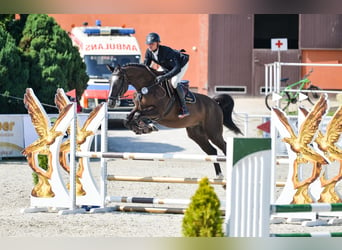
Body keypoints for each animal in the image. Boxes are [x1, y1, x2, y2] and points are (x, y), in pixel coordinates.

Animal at [105, 63, 242, 178]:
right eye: (110, 81)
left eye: (119, 80)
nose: (111, 103)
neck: (147, 87)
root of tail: (214, 102)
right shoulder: (137, 108)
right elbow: (128, 119)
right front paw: (142, 129)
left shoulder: (158, 112)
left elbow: (138, 115)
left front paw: (147, 127)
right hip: (196, 134)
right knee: (212, 151)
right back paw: (219, 175)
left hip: (213, 132)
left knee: (224, 146)